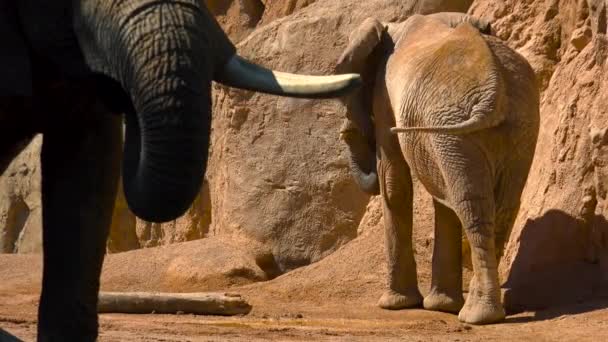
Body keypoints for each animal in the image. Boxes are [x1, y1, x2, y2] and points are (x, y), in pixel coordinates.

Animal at [338, 12, 540, 324]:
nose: (347, 131)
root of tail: (495, 90)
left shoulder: (384, 97)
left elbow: (393, 179)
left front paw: (395, 305)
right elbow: (439, 195)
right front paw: (440, 306)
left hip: (459, 124)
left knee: (470, 203)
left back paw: (476, 316)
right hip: (516, 122)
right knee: (500, 205)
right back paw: (481, 311)